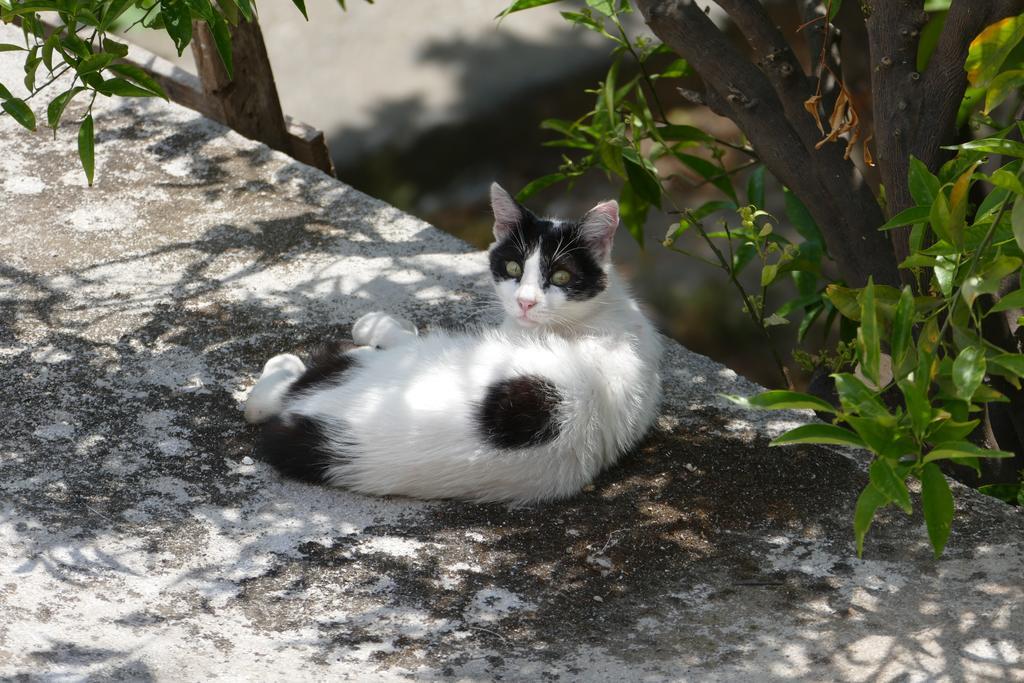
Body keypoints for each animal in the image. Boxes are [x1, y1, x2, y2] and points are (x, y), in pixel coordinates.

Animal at [244, 181, 667, 501]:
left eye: (561, 276)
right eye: (513, 267)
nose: (525, 302)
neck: (599, 315)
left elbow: (398, 333)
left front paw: (375, 324)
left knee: (264, 401)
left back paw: (289, 363)